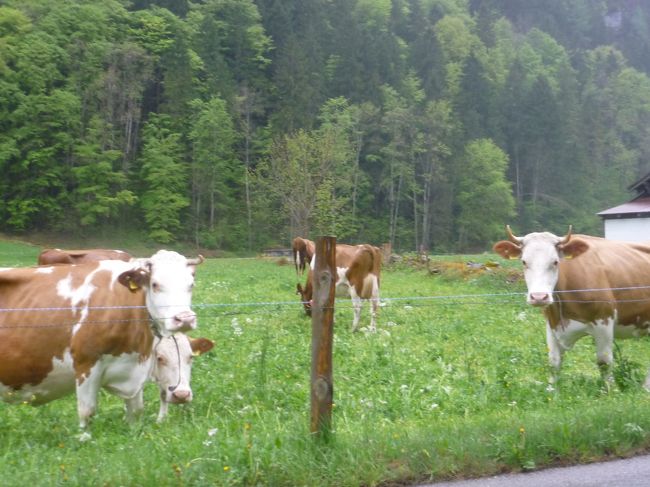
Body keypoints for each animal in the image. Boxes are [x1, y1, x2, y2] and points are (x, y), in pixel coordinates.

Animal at [0, 250, 202, 432]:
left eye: (191, 285)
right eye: (155, 284)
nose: (184, 319)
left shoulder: (135, 372)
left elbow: (136, 412)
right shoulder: (86, 364)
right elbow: (87, 412)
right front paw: (83, 440)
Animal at [494, 227, 650, 390]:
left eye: (555, 262)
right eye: (524, 262)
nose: (539, 297)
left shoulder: (604, 321)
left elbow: (604, 361)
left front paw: (609, 390)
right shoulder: (552, 323)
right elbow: (554, 361)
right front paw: (551, 389)